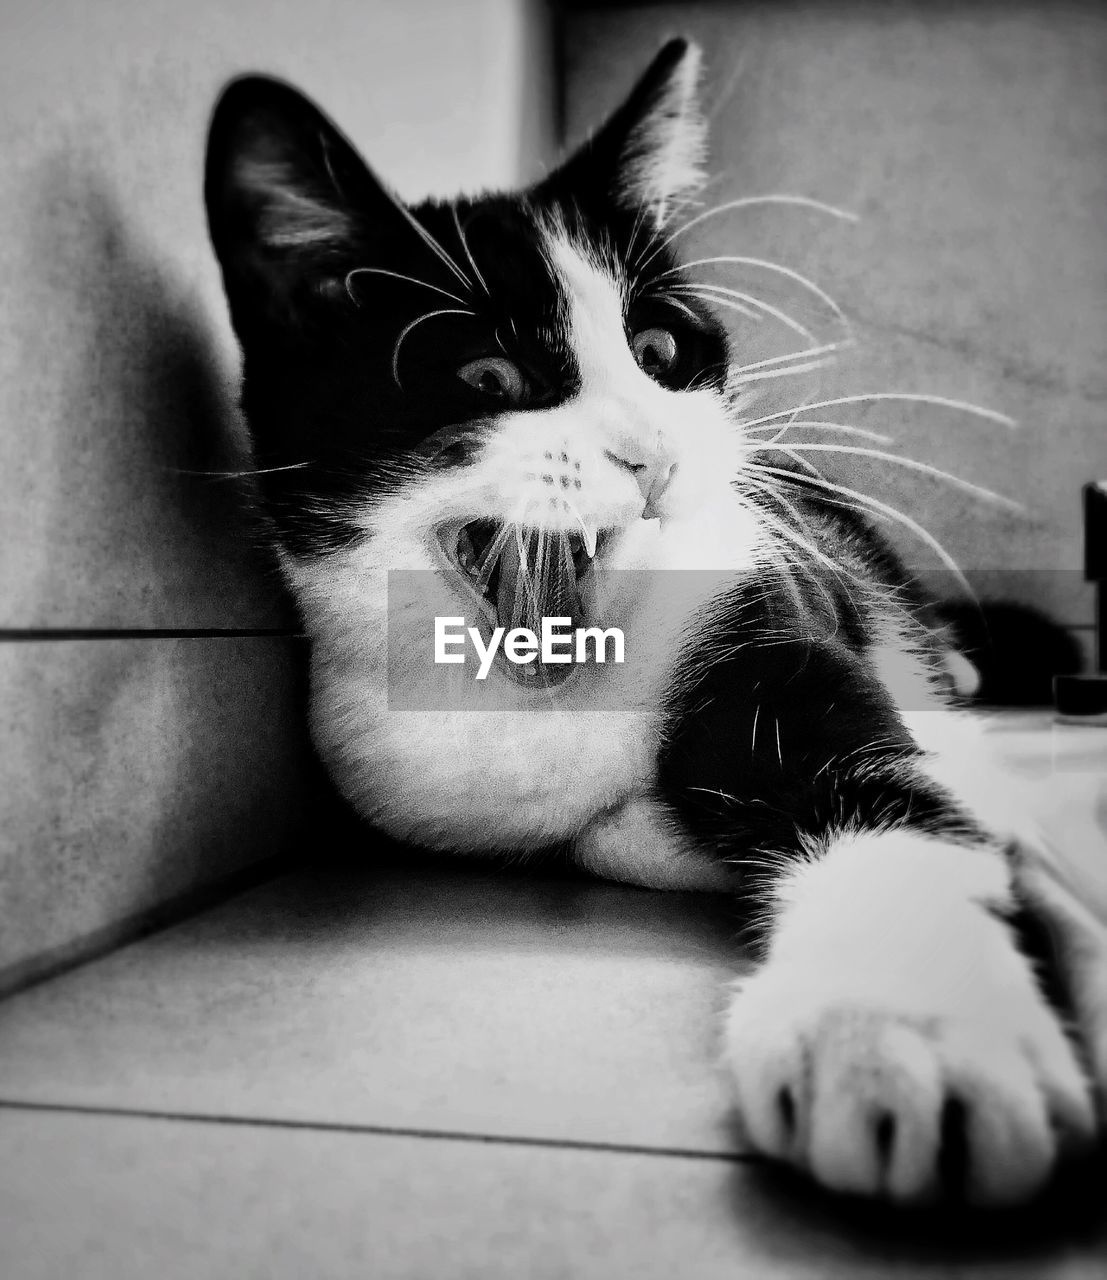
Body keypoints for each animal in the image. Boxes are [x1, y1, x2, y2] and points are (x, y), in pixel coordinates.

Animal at [203, 35, 1100, 1203]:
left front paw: (903, 1017)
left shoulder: (764, 606)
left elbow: (876, 779)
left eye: (663, 352)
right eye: (487, 373)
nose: (653, 452)